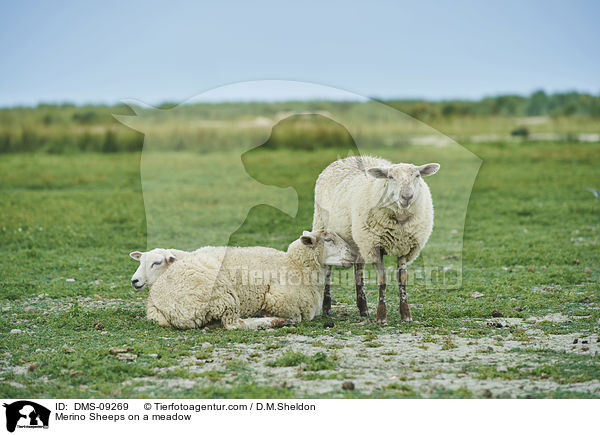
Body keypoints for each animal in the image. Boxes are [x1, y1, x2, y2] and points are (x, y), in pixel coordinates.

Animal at [139, 232, 356, 330]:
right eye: (329, 240)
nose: (354, 254)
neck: (296, 264)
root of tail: (155, 303)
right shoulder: (279, 299)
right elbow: (298, 315)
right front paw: (271, 315)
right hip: (221, 294)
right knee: (233, 324)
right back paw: (273, 321)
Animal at [314, 157, 440, 324]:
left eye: (417, 176)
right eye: (390, 177)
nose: (406, 197)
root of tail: (345, 159)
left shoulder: (404, 247)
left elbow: (402, 278)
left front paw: (406, 314)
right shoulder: (375, 246)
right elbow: (383, 278)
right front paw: (381, 315)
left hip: (359, 240)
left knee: (359, 268)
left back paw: (363, 308)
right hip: (324, 226)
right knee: (328, 269)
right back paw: (327, 307)